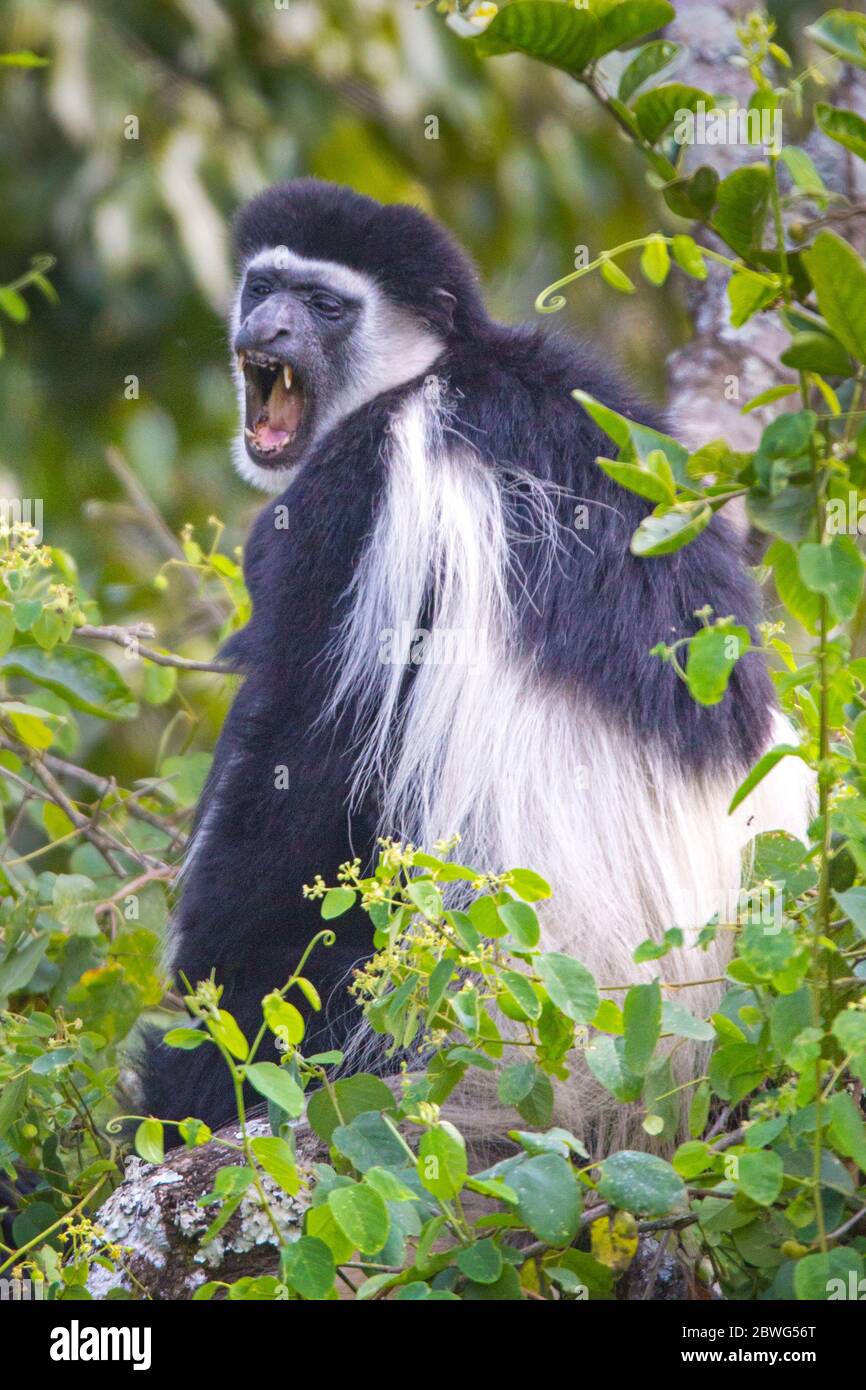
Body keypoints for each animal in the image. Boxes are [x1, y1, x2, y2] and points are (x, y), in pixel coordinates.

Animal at [143, 179, 811, 1134]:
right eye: (263, 286)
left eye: (324, 306)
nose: (265, 330)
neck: (428, 372)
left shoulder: (360, 495)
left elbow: (303, 757)